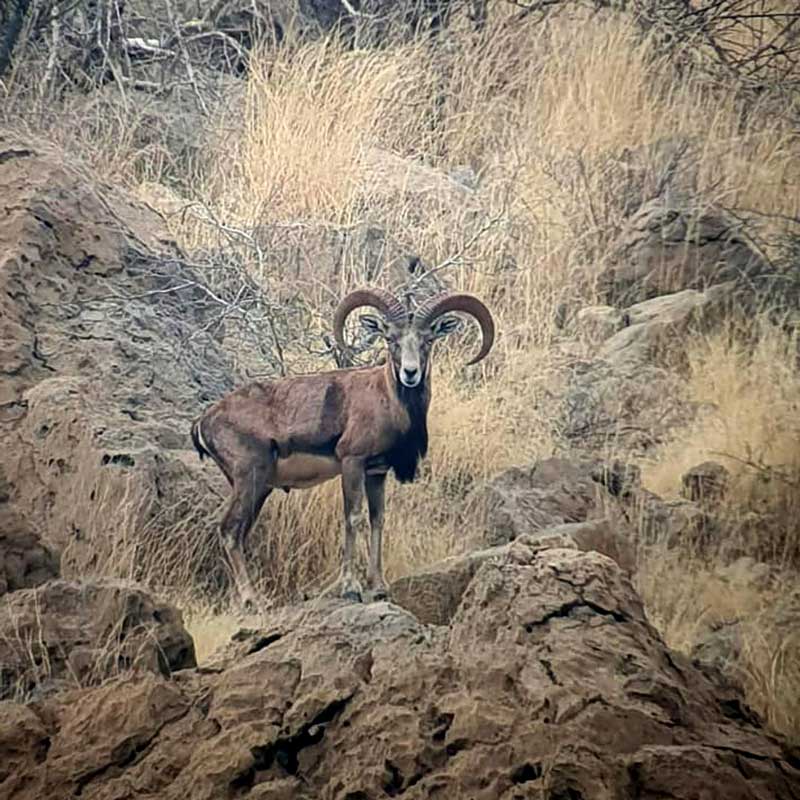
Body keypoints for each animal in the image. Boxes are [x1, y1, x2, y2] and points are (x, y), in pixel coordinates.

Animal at [192, 286, 494, 608]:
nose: (410, 372)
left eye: (427, 340)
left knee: (239, 533)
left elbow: (377, 520)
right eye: (391, 339)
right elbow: (353, 518)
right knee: (229, 531)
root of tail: (204, 421)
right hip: (250, 478)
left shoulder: (376, 473)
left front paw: (379, 586)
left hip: (259, 489)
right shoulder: (352, 463)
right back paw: (253, 599)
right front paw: (351, 587)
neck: (388, 402)